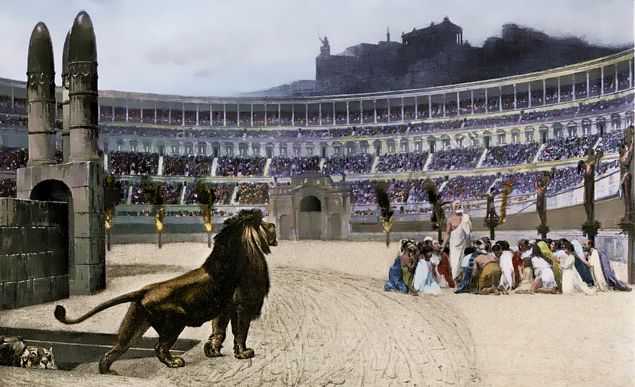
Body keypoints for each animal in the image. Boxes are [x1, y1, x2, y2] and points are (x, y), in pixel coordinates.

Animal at [52, 209, 276, 376]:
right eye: (264, 226)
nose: (273, 225)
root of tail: (144, 290)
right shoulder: (244, 306)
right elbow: (240, 333)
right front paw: (244, 353)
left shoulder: (225, 309)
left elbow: (218, 331)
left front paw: (212, 351)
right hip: (174, 322)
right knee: (159, 347)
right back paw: (174, 362)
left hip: (134, 324)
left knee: (114, 349)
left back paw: (108, 372)